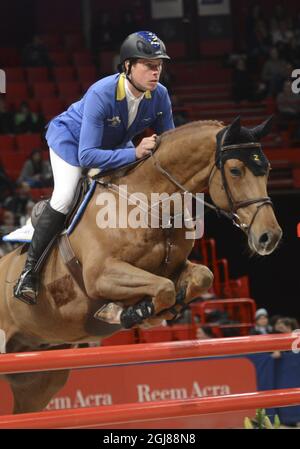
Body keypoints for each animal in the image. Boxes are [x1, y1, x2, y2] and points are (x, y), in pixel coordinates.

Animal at [0, 116, 282, 412]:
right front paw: (125, 312)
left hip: (40, 379)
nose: (269, 236)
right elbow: (163, 288)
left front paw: (156, 310)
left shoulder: (174, 267)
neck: (149, 203)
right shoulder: (100, 276)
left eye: (268, 169)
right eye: (236, 170)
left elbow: (200, 277)